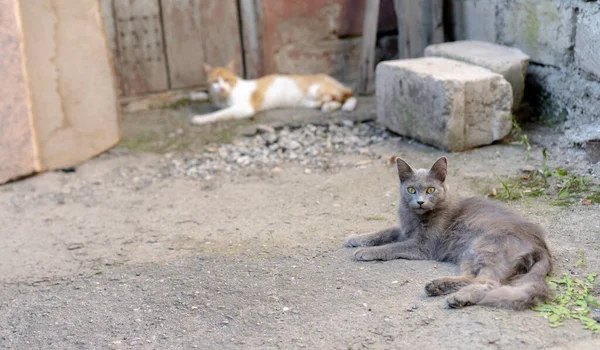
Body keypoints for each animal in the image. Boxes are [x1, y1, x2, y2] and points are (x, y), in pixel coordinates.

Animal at [191, 60, 356, 126]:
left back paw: (338, 105)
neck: (223, 98)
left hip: (317, 89)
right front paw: (196, 96)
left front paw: (200, 119)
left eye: (227, 80)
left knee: (346, 95)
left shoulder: (244, 108)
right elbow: (209, 99)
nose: (222, 88)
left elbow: (220, 114)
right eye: (215, 82)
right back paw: (328, 106)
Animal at [344, 157, 552, 308]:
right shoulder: (405, 230)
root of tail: (541, 246)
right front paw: (355, 238)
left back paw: (458, 298)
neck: (416, 217)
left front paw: (366, 252)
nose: (420, 202)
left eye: (431, 189)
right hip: (467, 253)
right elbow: (384, 232)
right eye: (411, 189)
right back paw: (437, 286)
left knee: (488, 282)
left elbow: (392, 247)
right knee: (471, 277)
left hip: (485, 248)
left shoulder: (422, 245)